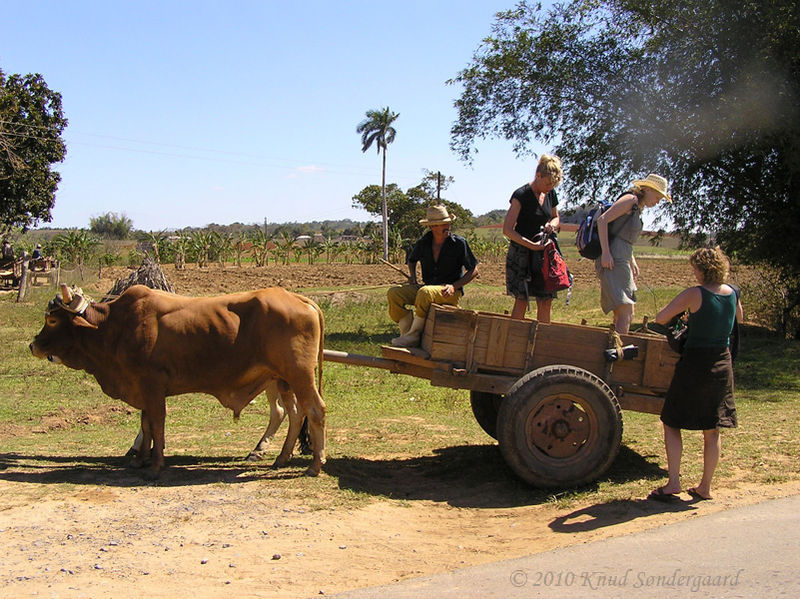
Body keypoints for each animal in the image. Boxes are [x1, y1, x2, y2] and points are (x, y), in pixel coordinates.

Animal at [30, 284, 324, 478]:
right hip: (283, 380)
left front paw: (155, 465)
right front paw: (141, 459)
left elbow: (157, 423)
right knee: (294, 413)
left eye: (52, 319)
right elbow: (146, 423)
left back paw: (315, 464)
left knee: (314, 411)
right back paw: (282, 457)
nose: (33, 345)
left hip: (300, 376)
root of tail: (299, 298)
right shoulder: (142, 388)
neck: (116, 327)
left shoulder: (152, 386)